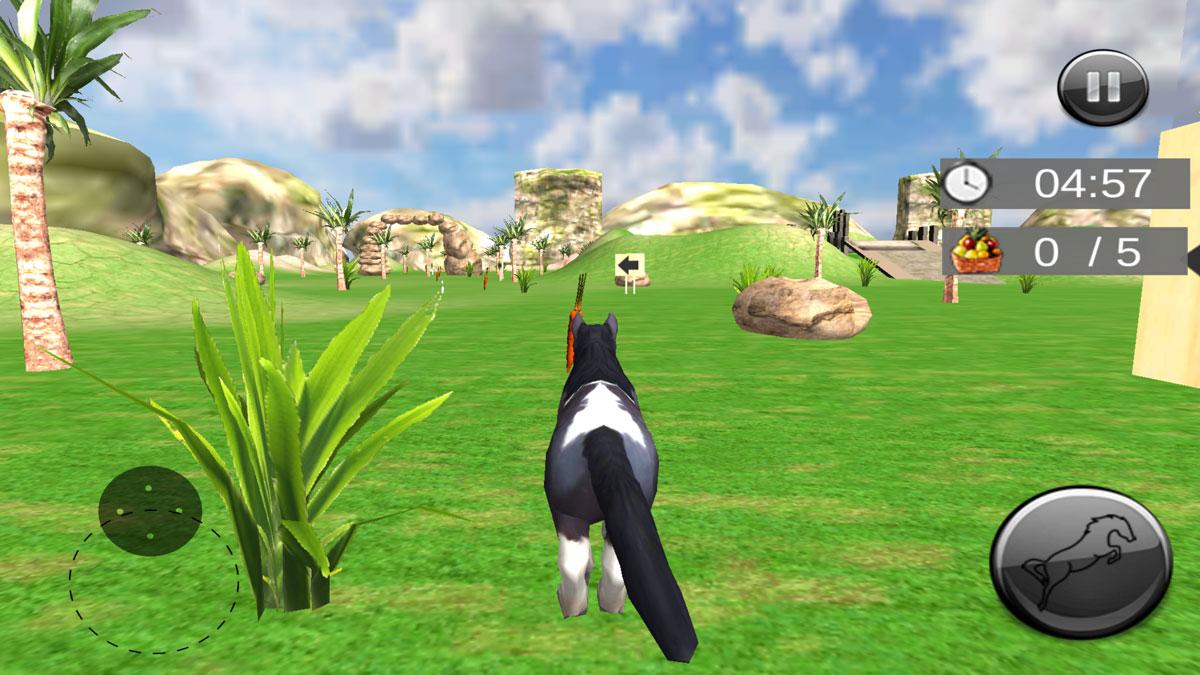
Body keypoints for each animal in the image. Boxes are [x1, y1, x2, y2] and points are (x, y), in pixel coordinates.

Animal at [543, 312, 698, 663]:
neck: (598, 359)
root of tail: (604, 434)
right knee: (613, 564)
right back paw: (607, 608)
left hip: (565, 512)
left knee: (575, 564)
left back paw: (573, 608)